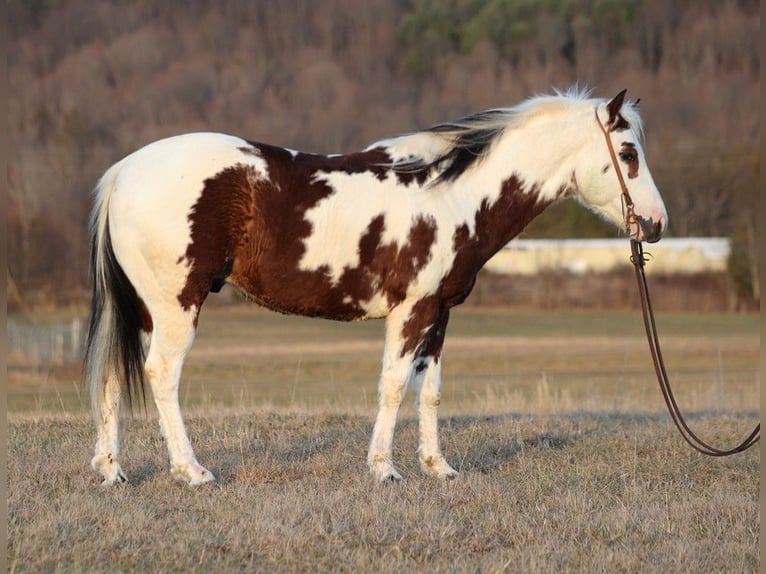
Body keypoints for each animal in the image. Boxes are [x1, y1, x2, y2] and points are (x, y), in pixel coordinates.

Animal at [87, 88, 668, 488]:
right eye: (628, 153)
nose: (657, 223)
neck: (452, 194)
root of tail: (125, 170)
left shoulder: (440, 313)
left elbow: (428, 391)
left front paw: (437, 467)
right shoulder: (410, 312)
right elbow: (392, 385)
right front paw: (384, 469)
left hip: (143, 308)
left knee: (115, 376)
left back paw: (112, 471)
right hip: (176, 306)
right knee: (162, 375)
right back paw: (192, 471)